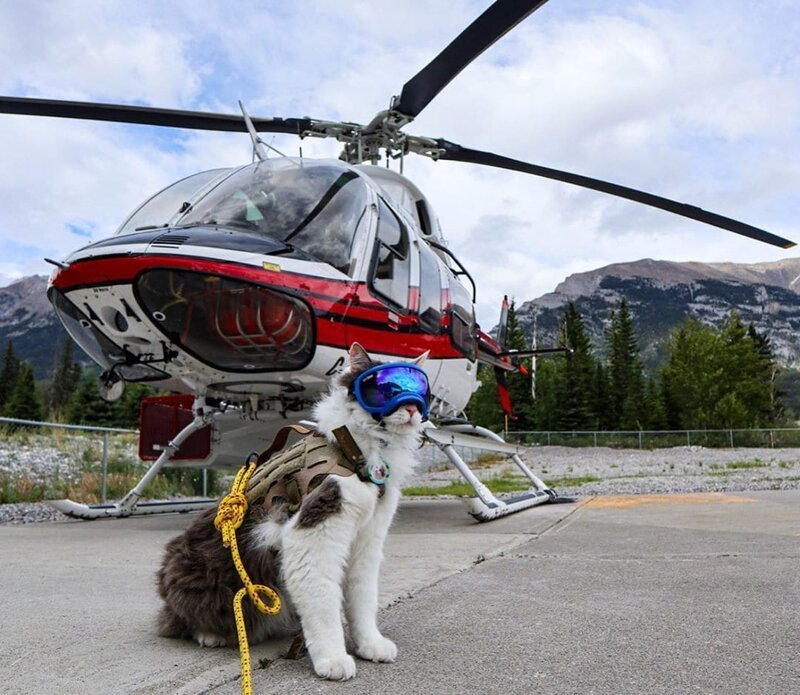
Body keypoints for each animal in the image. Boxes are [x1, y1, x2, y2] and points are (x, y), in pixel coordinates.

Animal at [158, 346, 432, 684]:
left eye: (419, 389)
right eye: (386, 388)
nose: (412, 408)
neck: (356, 453)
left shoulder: (367, 542)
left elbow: (363, 599)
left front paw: (370, 644)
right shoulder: (314, 534)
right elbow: (324, 603)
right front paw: (332, 659)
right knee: (181, 621)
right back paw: (211, 634)